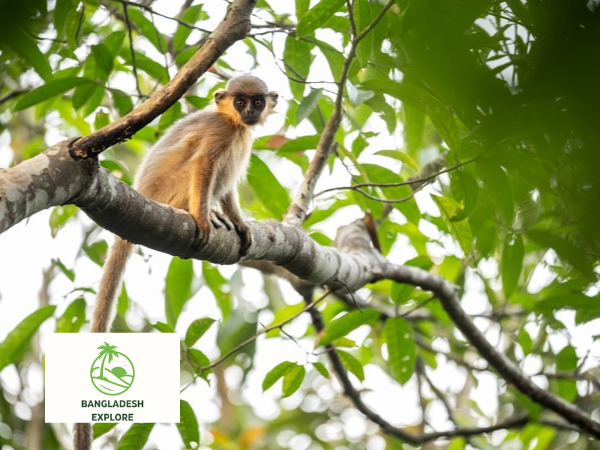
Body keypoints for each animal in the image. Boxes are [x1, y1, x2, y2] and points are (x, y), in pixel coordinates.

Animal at [74, 75, 278, 450]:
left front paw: (238, 221)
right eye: (240, 102)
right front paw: (202, 219)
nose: (250, 113)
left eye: (257, 102)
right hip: (173, 190)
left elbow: (228, 190)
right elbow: (204, 164)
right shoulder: (219, 133)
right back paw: (202, 214)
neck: (232, 123)